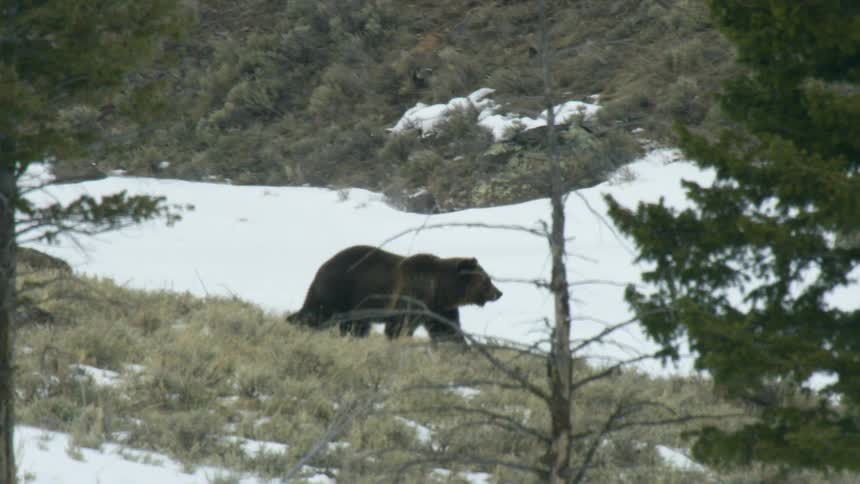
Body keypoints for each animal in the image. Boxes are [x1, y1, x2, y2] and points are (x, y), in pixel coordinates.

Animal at [288, 245, 503, 344]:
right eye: (487, 280)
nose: (499, 293)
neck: (439, 289)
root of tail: (324, 264)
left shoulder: (438, 309)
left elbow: (446, 329)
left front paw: (459, 347)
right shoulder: (412, 298)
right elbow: (399, 326)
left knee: (354, 325)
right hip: (341, 291)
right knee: (317, 312)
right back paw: (296, 323)